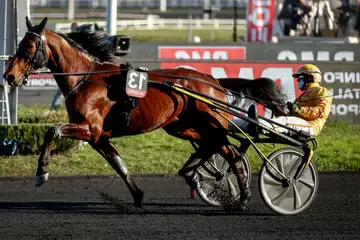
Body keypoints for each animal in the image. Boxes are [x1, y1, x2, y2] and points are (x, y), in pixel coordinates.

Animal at [1, 16, 286, 209]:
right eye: (19, 43)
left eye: (29, 46)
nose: (9, 76)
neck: (86, 78)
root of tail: (211, 79)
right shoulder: (98, 137)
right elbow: (119, 165)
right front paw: (138, 196)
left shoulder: (89, 128)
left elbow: (52, 130)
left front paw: (41, 173)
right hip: (182, 126)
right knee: (212, 147)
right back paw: (194, 175)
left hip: (210, 124)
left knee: (232, 153)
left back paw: (243, 197)